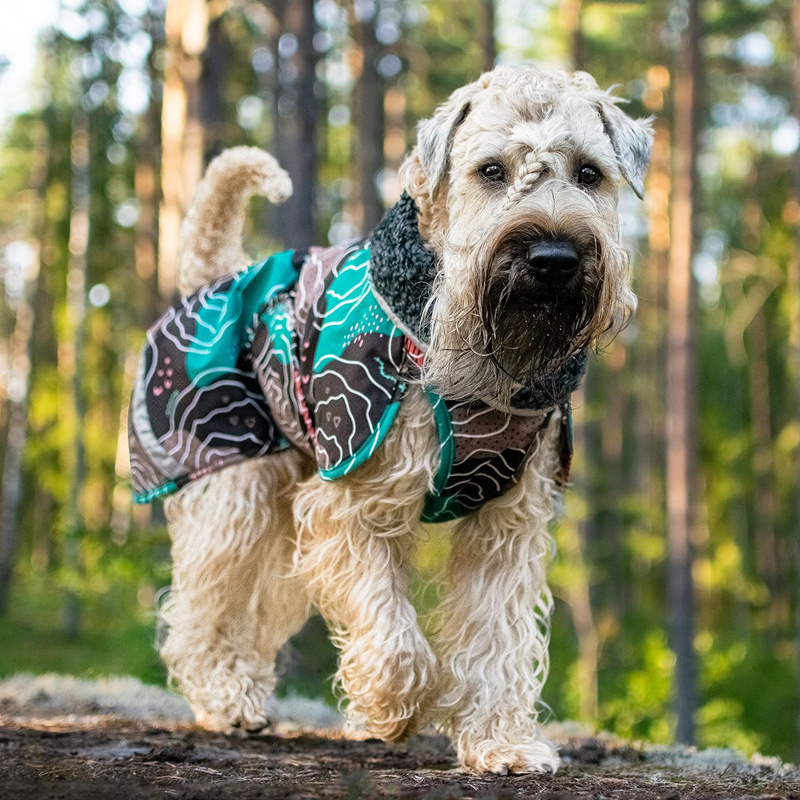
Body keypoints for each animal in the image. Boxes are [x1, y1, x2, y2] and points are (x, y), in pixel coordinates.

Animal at [126, 64, 648, 776]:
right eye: (491, 170)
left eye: (590, 173)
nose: (553, 259)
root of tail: (213, 276)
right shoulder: (348, 501)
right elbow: (393, 633)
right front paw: (392, 710)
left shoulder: (506, 522)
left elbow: (497, 638)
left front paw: (499, 742)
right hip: (235, 489)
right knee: (200, 610)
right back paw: (226, 700)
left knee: (254, 612)